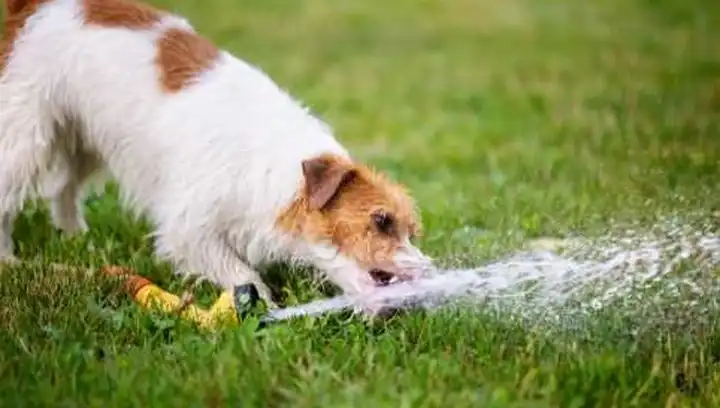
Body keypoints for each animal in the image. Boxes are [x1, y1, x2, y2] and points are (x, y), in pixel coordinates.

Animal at [0, 0, 434, 310]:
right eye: (381, 221)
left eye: (410, 232)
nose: (429, 273)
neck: (281, 169)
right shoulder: (191, 226)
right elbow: (240, 272)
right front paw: (261, 310)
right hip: (28, 131)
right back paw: (9, 260)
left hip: (85, 133)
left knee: (63, 186)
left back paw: (76, 238)